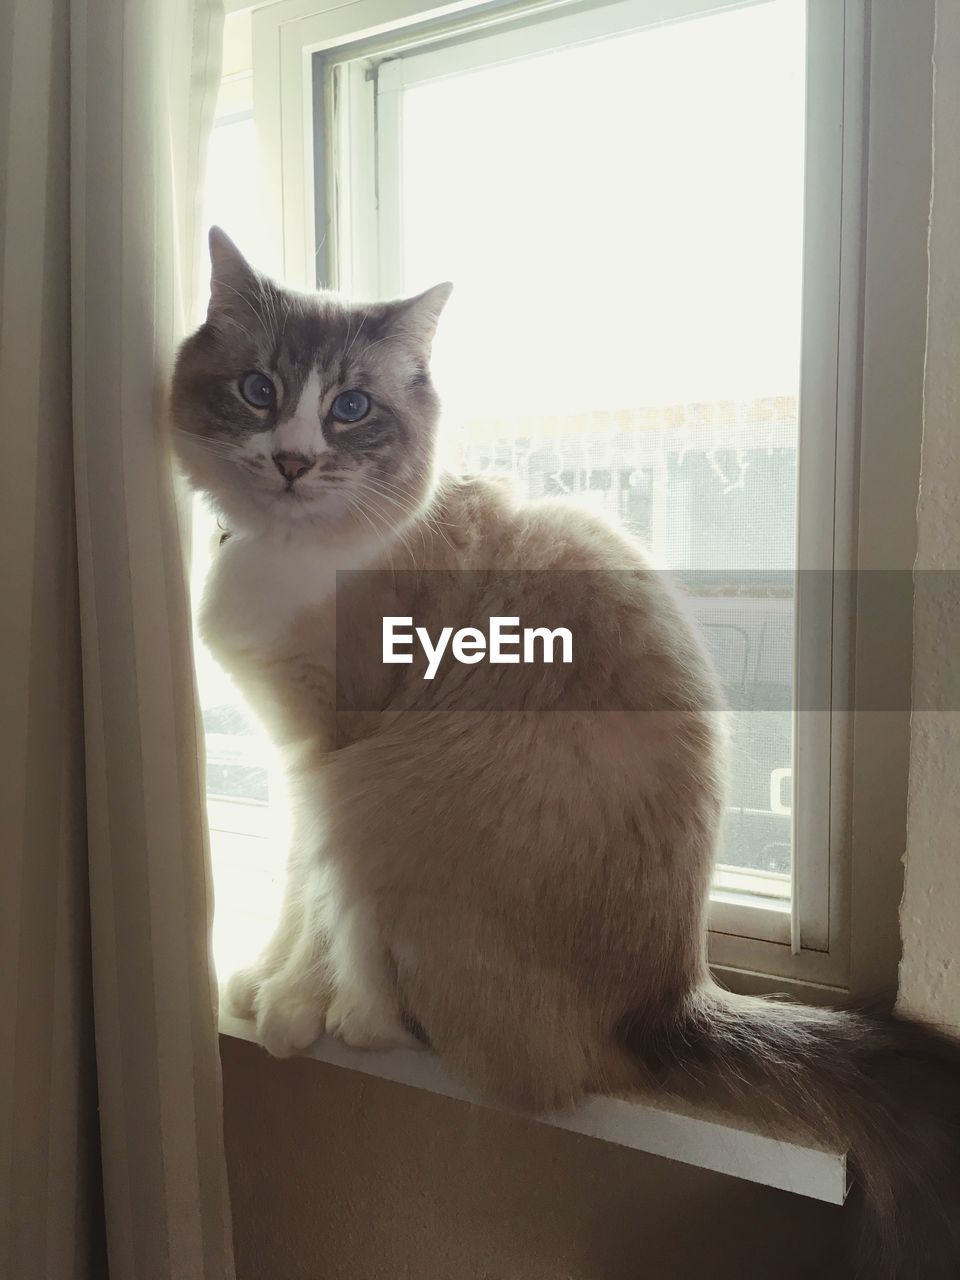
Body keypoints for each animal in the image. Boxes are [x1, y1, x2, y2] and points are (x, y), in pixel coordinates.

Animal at [175, 230, 960, 1280]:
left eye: (350, 409)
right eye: (259, 391)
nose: (296, 460)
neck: (290, 551)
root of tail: (672, 996)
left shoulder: (324, 752)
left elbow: (308, 906)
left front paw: (283, 1005)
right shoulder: (289, 754)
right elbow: (295, 892)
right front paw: (258, 985)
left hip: (367, 791)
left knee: (422, 1019)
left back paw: (362, 1019)